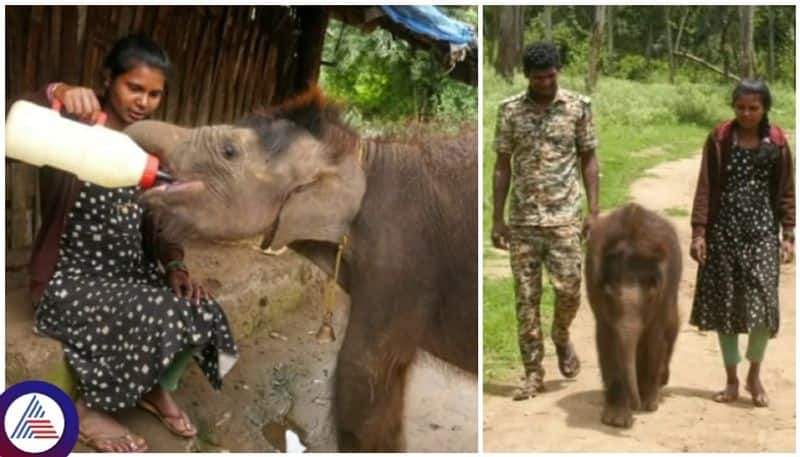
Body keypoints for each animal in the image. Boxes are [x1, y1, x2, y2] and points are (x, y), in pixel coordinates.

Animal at [580, 203, 680, 428]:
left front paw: (650, 405)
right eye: (607, 290)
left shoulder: (665, 292)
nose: (636, 406)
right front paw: (616, 419)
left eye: (652, 289)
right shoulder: (594, 287)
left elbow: (654, 336)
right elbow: (607, 338)